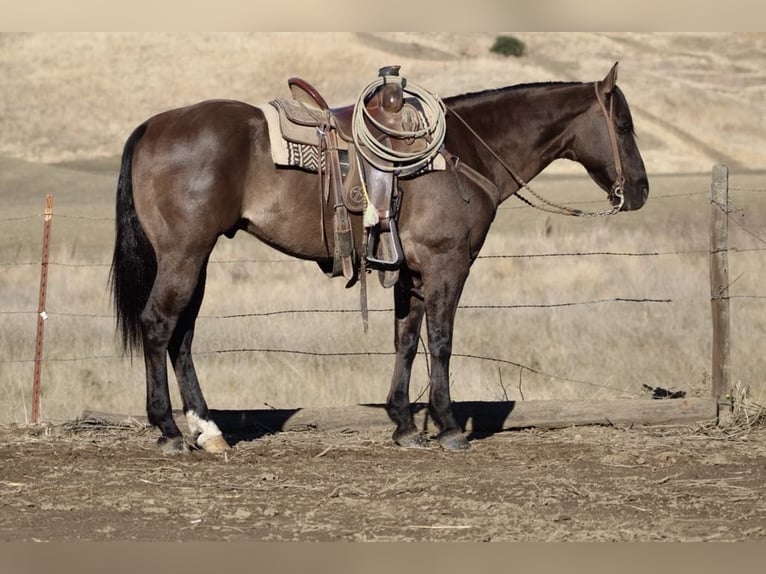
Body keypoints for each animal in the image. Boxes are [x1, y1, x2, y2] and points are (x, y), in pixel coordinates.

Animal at [108, 63, 648, 456]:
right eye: (623, 125)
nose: (640, 190)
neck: (461, 154)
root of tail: (153, 126)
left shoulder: (410, 272)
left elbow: (406, 341)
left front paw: (405, 425)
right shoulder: (447, 266)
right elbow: (441, 342)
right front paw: (448, 427)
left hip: (196, 258)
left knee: (182, 336)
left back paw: (208, 430)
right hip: (183, 255)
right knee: (159, 325)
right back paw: (169, 431)